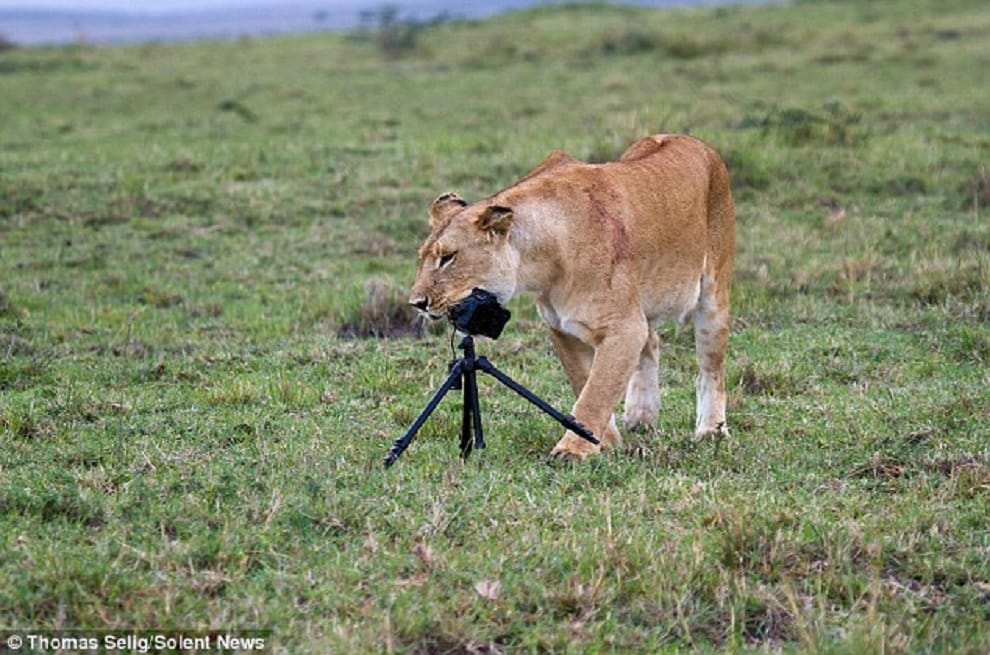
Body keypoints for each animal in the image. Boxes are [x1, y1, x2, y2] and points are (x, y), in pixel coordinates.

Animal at [409, 134, 735, 459]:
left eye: (448, 258)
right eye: (422, 257)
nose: (417, 303)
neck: (541, 261)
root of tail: (693, 140)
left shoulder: (624, 327)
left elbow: (597, 391)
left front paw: (573, 451)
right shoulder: (562, 328)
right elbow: (585, 383)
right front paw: (603, 442)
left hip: (714, 296)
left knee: (711, 369)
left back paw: (712, 431)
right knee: (651, 342)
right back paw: (641, 418)